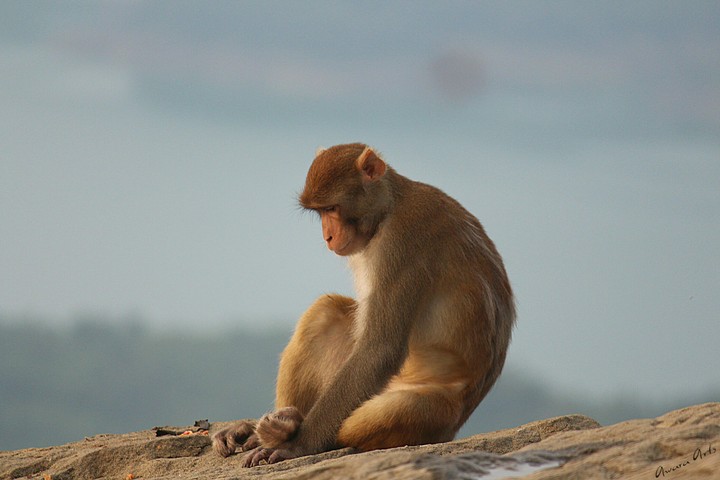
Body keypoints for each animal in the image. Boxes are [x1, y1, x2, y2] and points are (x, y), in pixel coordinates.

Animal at [212, 143, 515, 466]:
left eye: (332, 208)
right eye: (320, 212)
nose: (328, 236)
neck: (390, 208)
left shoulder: (404, 241)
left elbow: (378, 350)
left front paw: (298, 445)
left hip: (437, 414)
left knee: (382, 414)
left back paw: (288, 431)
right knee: (325, 312)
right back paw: (278, 423)